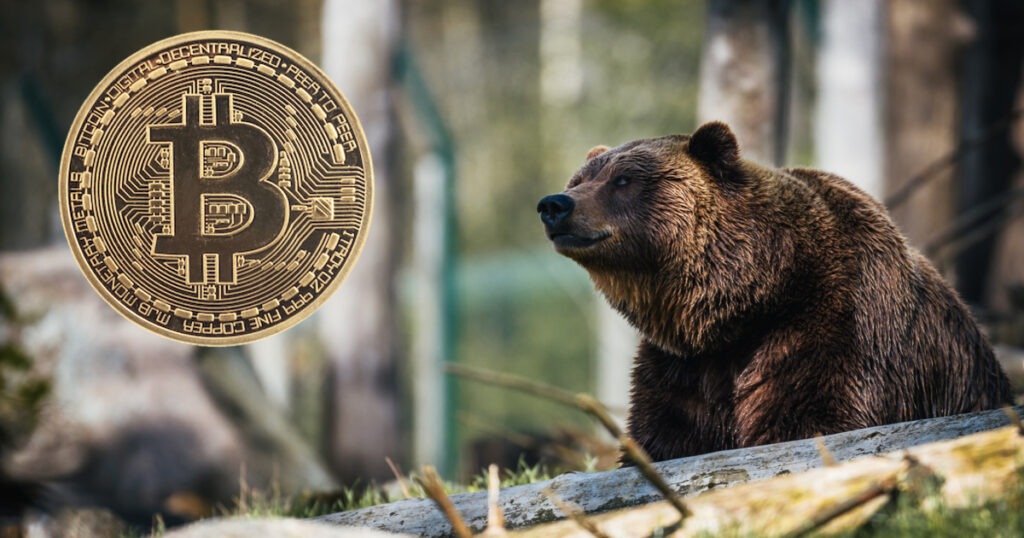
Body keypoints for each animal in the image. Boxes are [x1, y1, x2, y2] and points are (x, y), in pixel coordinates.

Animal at [537, 121, 1013, 462]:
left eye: (624, 179)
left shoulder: (835, 326)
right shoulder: (683, 367)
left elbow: (811, 419)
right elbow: (665, 436)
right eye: (580, 178)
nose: (555, 204)